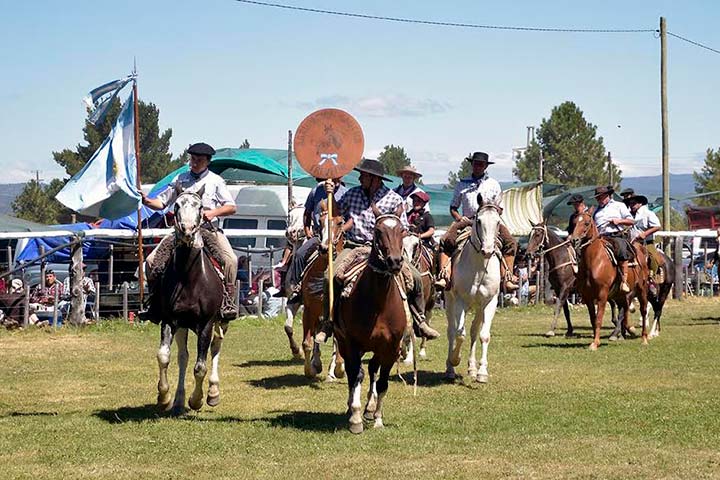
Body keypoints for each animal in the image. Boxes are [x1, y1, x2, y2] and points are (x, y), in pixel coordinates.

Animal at [334, 204, 408, 434]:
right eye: (378, 231)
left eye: (402, 230)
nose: (394, 261)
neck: (379, 304)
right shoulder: (351, 343)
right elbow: (355, 375)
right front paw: (355, 418)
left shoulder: (391, 347)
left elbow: (383, 381)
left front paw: (377, 418)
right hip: (344, 343)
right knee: (354, 372)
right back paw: (353, 408)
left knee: (373, 368)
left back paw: (369, 407)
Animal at [444, 202, 500, 382]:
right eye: (479, 221)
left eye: (498, 222)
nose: (487, 251)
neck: (479, 267)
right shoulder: (460, 300)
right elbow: (459, 334)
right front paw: (455, 360)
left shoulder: (490, 302)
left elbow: (484, 335)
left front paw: (482, 373)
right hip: (450, 301)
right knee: (451, 331)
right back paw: (450, 369)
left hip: (479, 308)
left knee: (474, 332)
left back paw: (472, 368)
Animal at [568, 210, 652, 348]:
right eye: (574, 223)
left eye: (586, 223)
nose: (574, 240)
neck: (594, 260)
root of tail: (640, 251)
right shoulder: (587, 296)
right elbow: (593, 319)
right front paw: (595, 340)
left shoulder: (602, 294)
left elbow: (599, 318)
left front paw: (595, 343)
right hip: (620, 295)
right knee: (624, 310)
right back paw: (623, 333)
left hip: (642, 289)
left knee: (643, 310)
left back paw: (644, 338)